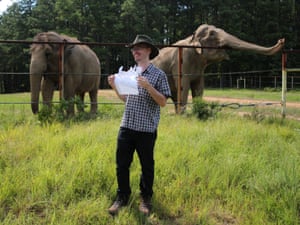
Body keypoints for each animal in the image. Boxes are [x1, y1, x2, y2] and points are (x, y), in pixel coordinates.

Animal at [151, 24, 284, 113]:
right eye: (212, 34)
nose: (281, 40)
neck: (191, 39)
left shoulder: (200, 69)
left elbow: (199, 88)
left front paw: (197, 111)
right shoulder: (181, 62)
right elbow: (183, 86)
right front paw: (183, 116)